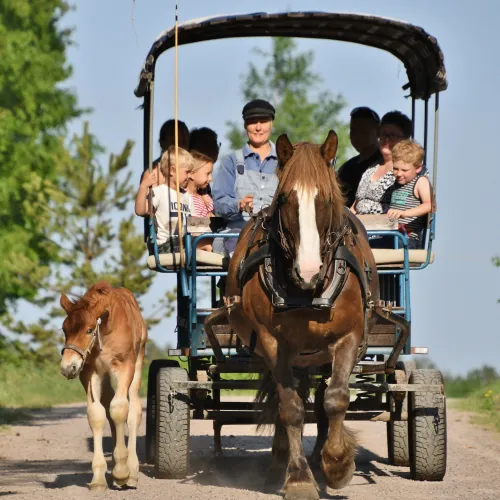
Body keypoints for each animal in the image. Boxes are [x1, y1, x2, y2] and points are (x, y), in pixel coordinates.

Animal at [59, 282, 147, 492]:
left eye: (90, 330)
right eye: (64, 330)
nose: (67, 367)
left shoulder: (124, 367)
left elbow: (120, 409)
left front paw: (122, 472)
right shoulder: (89, 371)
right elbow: (96, 414)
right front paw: (99, 478)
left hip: (138, 362)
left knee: (133, 409)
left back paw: (131, 472)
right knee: (108, 404)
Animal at [221, 131, 376, 498]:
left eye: (327, 199)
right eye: (284, 199)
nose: (308, 271)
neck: (307, 292)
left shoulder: (348, 337)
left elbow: (336, 398)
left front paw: (336, 464)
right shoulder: (272, 342)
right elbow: (290, 408)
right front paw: (299, 478)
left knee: (319, 397)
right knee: (289, 398)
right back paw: (281, 460)